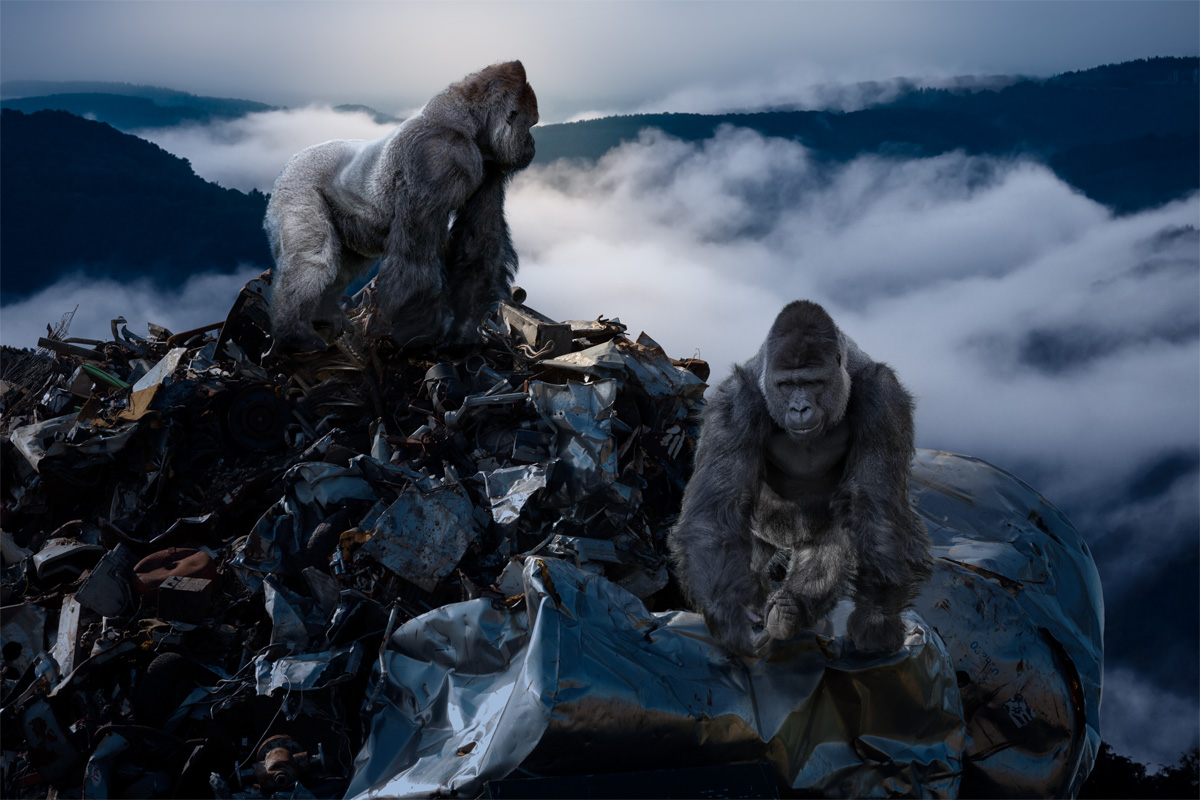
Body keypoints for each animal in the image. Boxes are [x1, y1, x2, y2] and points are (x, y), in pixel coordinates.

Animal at [270, 61, 542, 347]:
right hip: (297, 185)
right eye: (530, 124)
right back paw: (294, 332)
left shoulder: (489, 166)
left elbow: (479, 243)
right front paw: (419, 335)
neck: (467, 121)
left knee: (347, 263)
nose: (532, 144)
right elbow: (415, 260)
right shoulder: (436, 158)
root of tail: (292, 161)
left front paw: (464, 330)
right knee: (313, 259)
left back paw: (325, 314)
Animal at [672, 299, 931, 657]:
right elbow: (716, 513)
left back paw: (793, 611)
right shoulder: (733, 403)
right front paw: (728, 616)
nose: (799, 409)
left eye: (812, 382)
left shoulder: (885, 398)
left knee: (834, 541)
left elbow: (873, 506)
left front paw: (876, 619)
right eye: (787, 385)